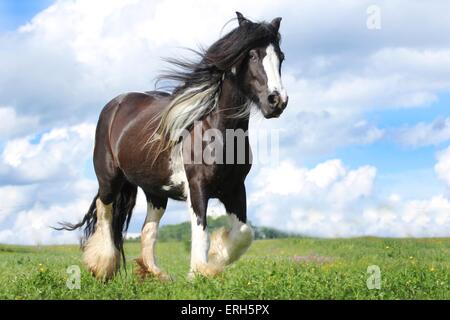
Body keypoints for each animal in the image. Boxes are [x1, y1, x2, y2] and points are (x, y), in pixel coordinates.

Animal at [58, 11, 288, 280]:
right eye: (251, 55)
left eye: (281, 57)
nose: (277, 101)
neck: (215, 130)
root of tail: (116, 104)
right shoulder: (198, 186)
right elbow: (201, 231)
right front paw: (199, 271)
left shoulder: (235, 188)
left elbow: (244, 233)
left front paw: (214, 260)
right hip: (109, 178)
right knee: (104, 211)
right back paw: (102, 266)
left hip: (156, 191)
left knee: (147, 229)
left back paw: (156, 273)